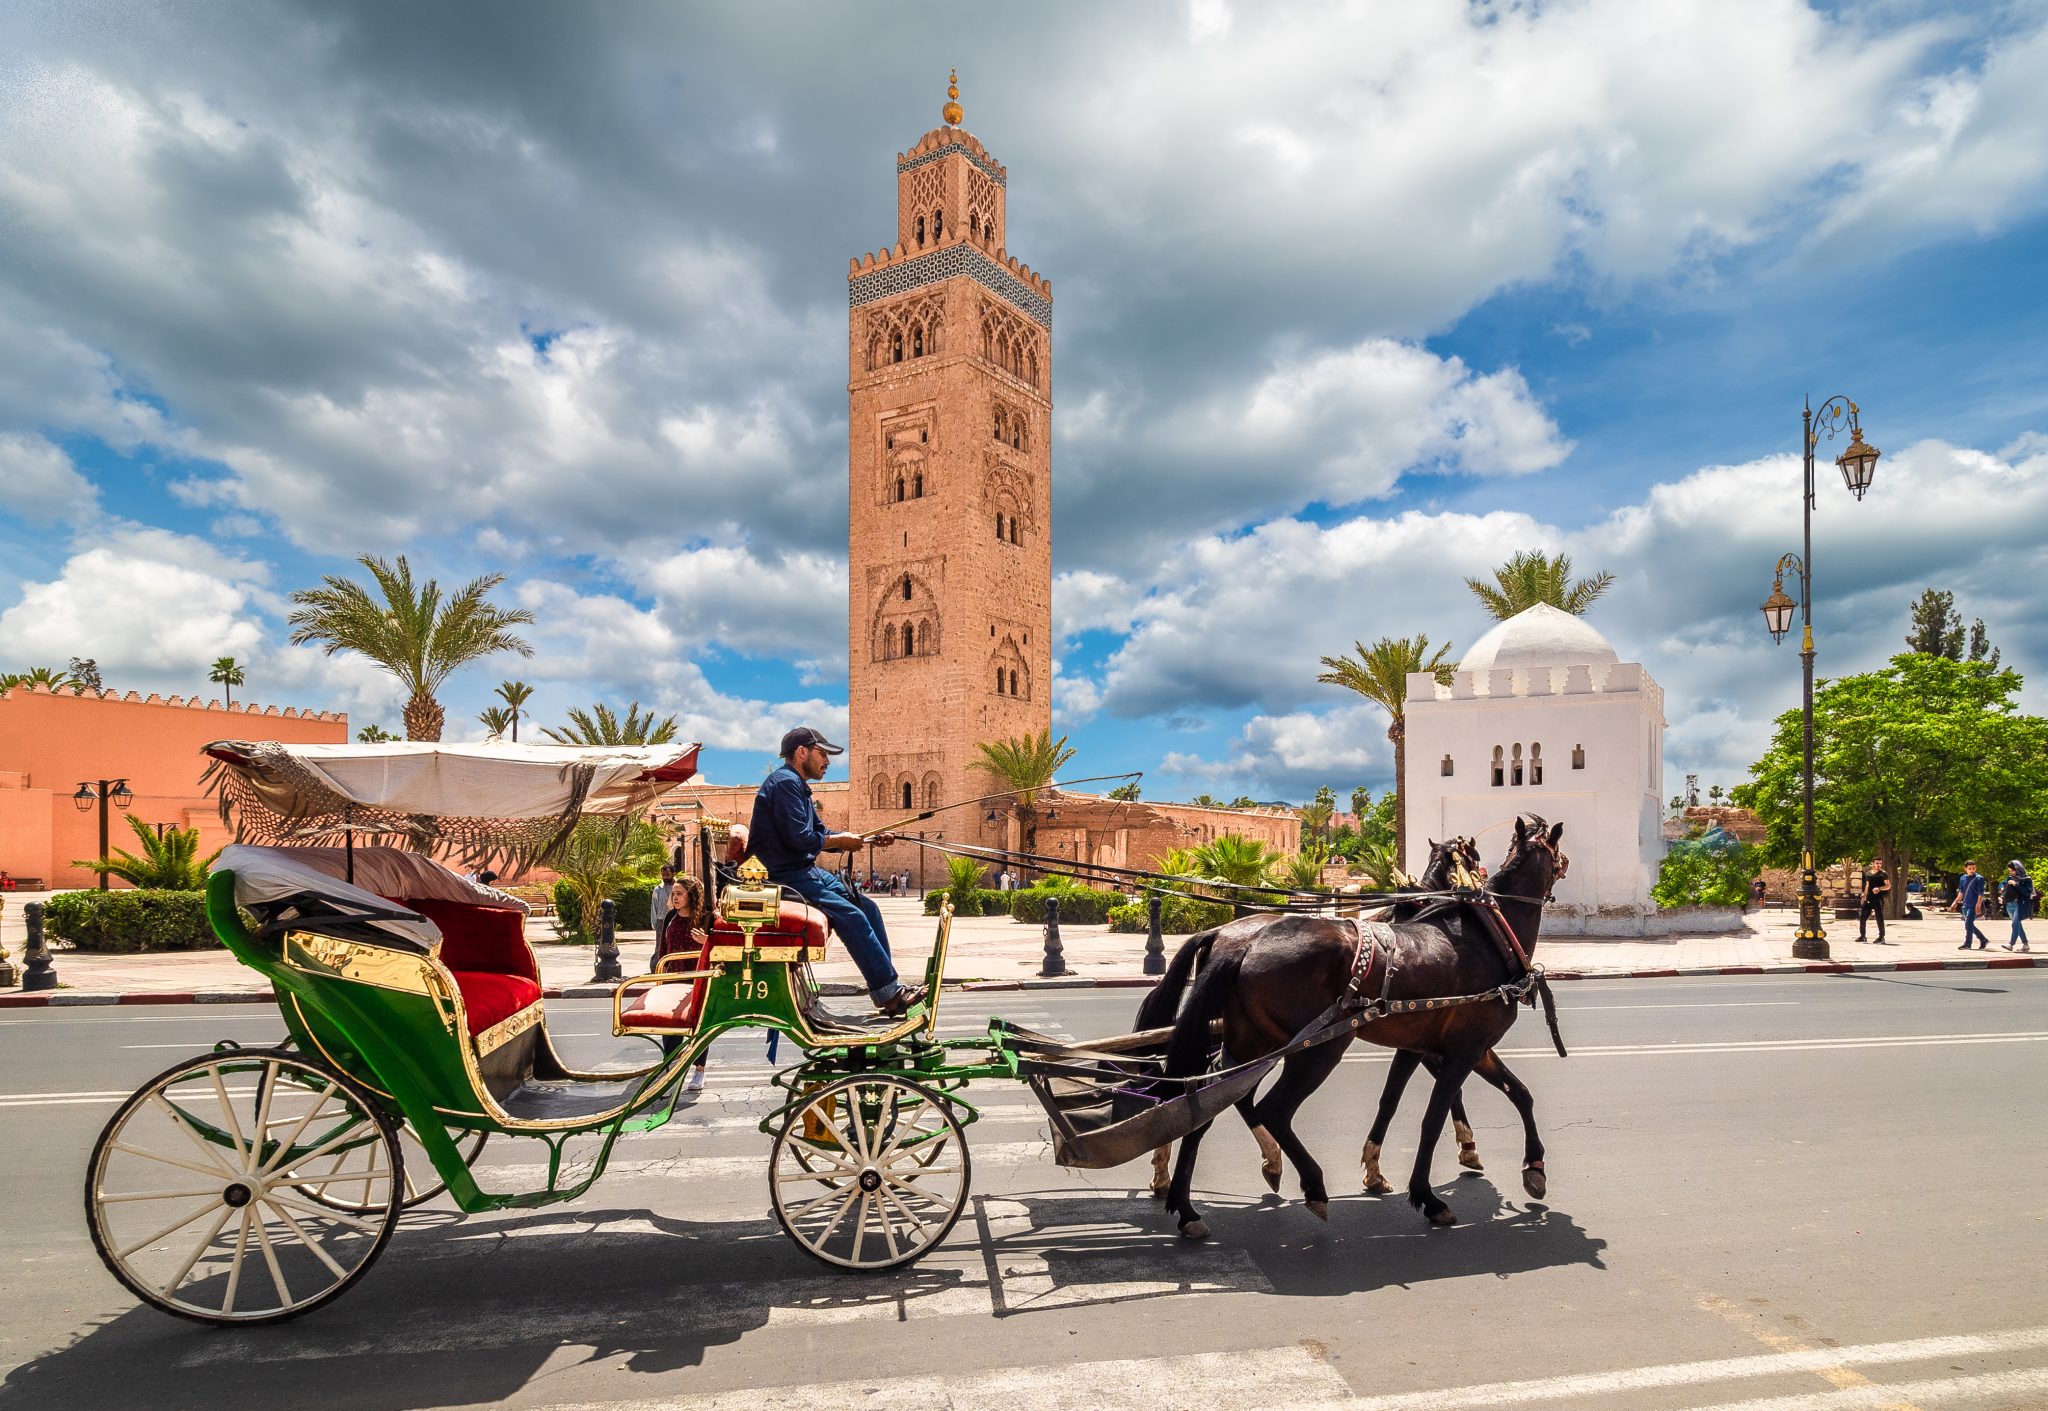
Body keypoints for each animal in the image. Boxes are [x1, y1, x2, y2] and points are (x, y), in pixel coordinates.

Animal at [1138, 815, 1564, 1228]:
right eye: (1471, 858)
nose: (1566, 863)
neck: (1491, 936)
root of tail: (1235, 942)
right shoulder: (1467, 1046)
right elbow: (1437, 1114)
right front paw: (1433, 1189)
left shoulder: (1424, 1044)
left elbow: (1414, 1100)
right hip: (1316, 1048)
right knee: (1269, 1109)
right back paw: (1307, 1184)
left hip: (1252, 1041)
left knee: (1206, 1094)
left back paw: (1188, 1201)